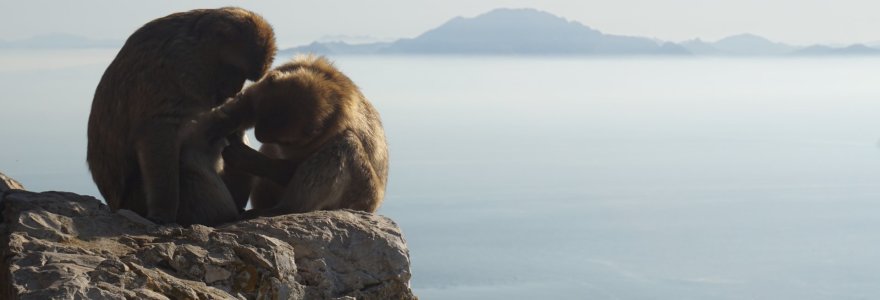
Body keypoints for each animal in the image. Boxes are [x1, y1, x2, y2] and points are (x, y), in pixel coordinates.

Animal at [87, 7, 276, 225]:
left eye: (245, 78)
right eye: (235, 70)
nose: (235, 90)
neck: (195, 50)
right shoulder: (174, 71)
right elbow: (159, 131)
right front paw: (163, 213)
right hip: (138, 198)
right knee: (189, 158)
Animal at [196, 55, 388, 216]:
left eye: (284, 141)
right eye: (260, 116)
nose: (259, 136)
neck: (326, 83)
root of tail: (374, 205)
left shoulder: (332, 129)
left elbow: (289, 171)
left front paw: (247, 158)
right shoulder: (275, 78)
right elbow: (248, 103)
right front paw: (223, 124)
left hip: (361, 194)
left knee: (346, 143)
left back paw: (283, 209)